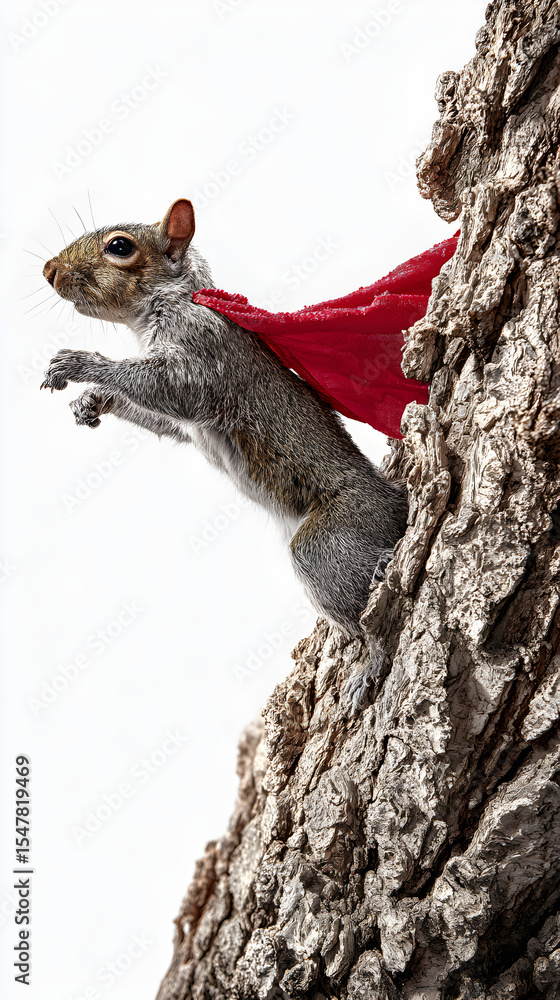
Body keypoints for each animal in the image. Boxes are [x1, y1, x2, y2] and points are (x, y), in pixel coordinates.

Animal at [41, 199, 408, 663]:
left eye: (119, 247)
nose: (49, 270)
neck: (170, 302)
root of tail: (390, 496)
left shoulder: (203, 347)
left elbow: (174, 390)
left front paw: (79, 364)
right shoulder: (186, 414)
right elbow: (167, 419)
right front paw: (93, 400)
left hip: (338, 534)